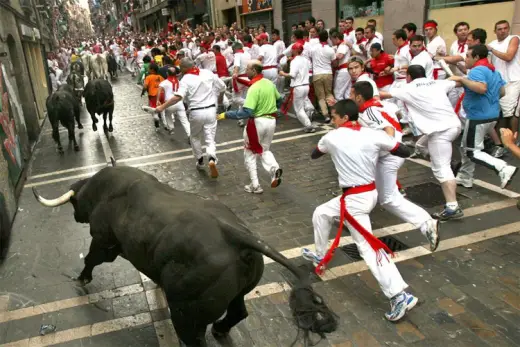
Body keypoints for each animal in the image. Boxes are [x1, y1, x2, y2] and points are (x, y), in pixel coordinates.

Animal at [32, 167, 338, 346]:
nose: (75, 214)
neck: (106, 190)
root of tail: (235, 234)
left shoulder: (104, 243)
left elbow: (91, 259)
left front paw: (82, 278)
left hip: (185, 313)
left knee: (194, 339)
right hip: (236, 293)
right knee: (238, 312)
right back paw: (220, 329)